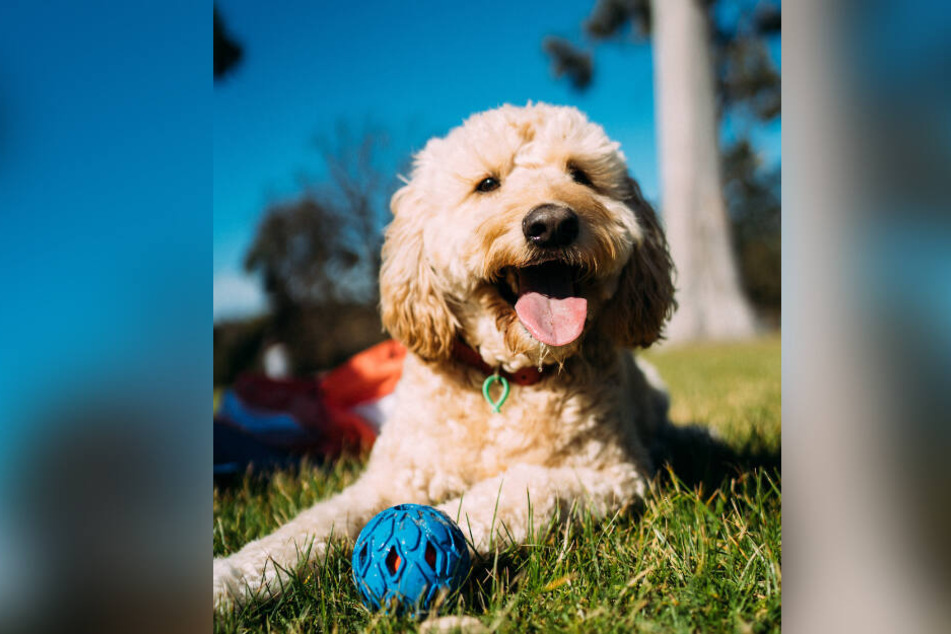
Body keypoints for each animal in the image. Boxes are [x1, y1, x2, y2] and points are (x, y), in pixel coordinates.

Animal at [214, 102, 676, 608]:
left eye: (580, 174)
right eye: (487, 184)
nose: (551, 224)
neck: (505, 377)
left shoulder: (608, 474)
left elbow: (505, 496)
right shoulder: (391, 478)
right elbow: (311, 525)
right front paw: (232, 578)